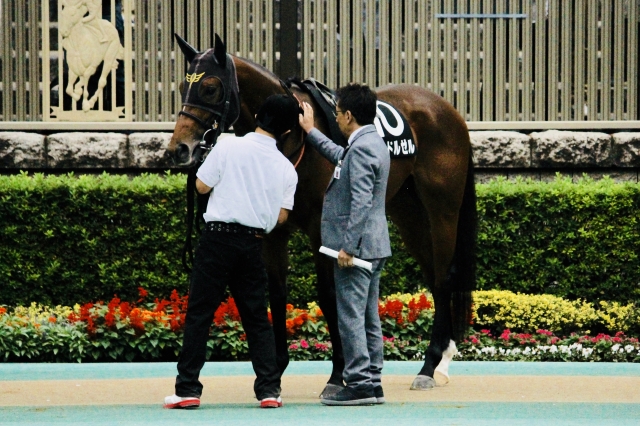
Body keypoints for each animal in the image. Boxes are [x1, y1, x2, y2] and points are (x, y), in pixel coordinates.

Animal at [168, 33, 478, 392]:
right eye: (182, 86)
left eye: (210, 88)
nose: (179, 149)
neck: (290, 137)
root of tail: (448, 110)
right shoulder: (274, 232)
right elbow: (277, 293)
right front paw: (275, 371)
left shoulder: (321, 226)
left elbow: (329, 295)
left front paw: (338, 373)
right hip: (408, 214)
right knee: (432, 275)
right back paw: (441, 357)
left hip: (442, 211)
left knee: (444, 276)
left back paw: (429, 366)